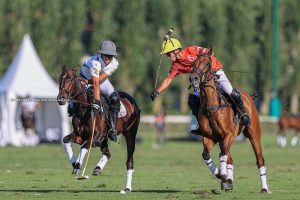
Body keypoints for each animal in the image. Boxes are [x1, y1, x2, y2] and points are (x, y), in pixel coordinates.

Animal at [57, 66, 141, 194]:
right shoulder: (80, 136)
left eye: (70, 79)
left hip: (130, 134)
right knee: (107, 153)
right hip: (105, 138)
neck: (84, 109)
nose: (60, 98)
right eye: (59, 79)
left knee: (129, 160)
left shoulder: (96, 137)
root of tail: (133, 101)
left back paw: (127, 188)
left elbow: (84, 147)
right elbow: (66, 139)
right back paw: (98, 168)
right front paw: (74, 163)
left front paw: (78, 165)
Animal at [190, 47, 270, 193]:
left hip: (254, 134)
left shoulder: (228, 135)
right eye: (193, 64)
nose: (194, 79)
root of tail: (248, 96)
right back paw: (229, 180)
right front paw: (220, 175)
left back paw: (264, 188)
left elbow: (222, 155)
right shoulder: (210, 137)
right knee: (230, 159)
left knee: (259, 159)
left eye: (207, 64)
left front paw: (223, 179)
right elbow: (206, 155)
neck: (212, 107)